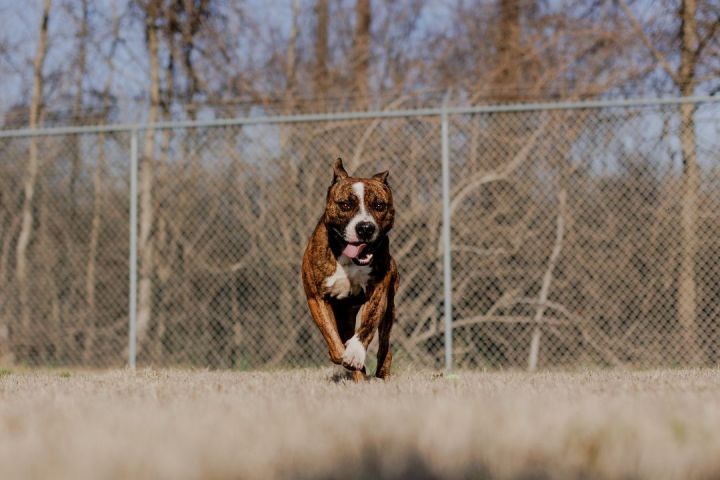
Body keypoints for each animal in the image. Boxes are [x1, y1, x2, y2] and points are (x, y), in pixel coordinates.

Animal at [302, 159, 400, 380]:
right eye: (345, 205)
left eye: (379, 205)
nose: (365, 228)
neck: (349, 260)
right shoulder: (317, 298)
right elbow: (331, 337)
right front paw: (342, 355)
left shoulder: (378, 293)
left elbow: (367, 326)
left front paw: (354, 353)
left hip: (389, 309)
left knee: (384, 347)